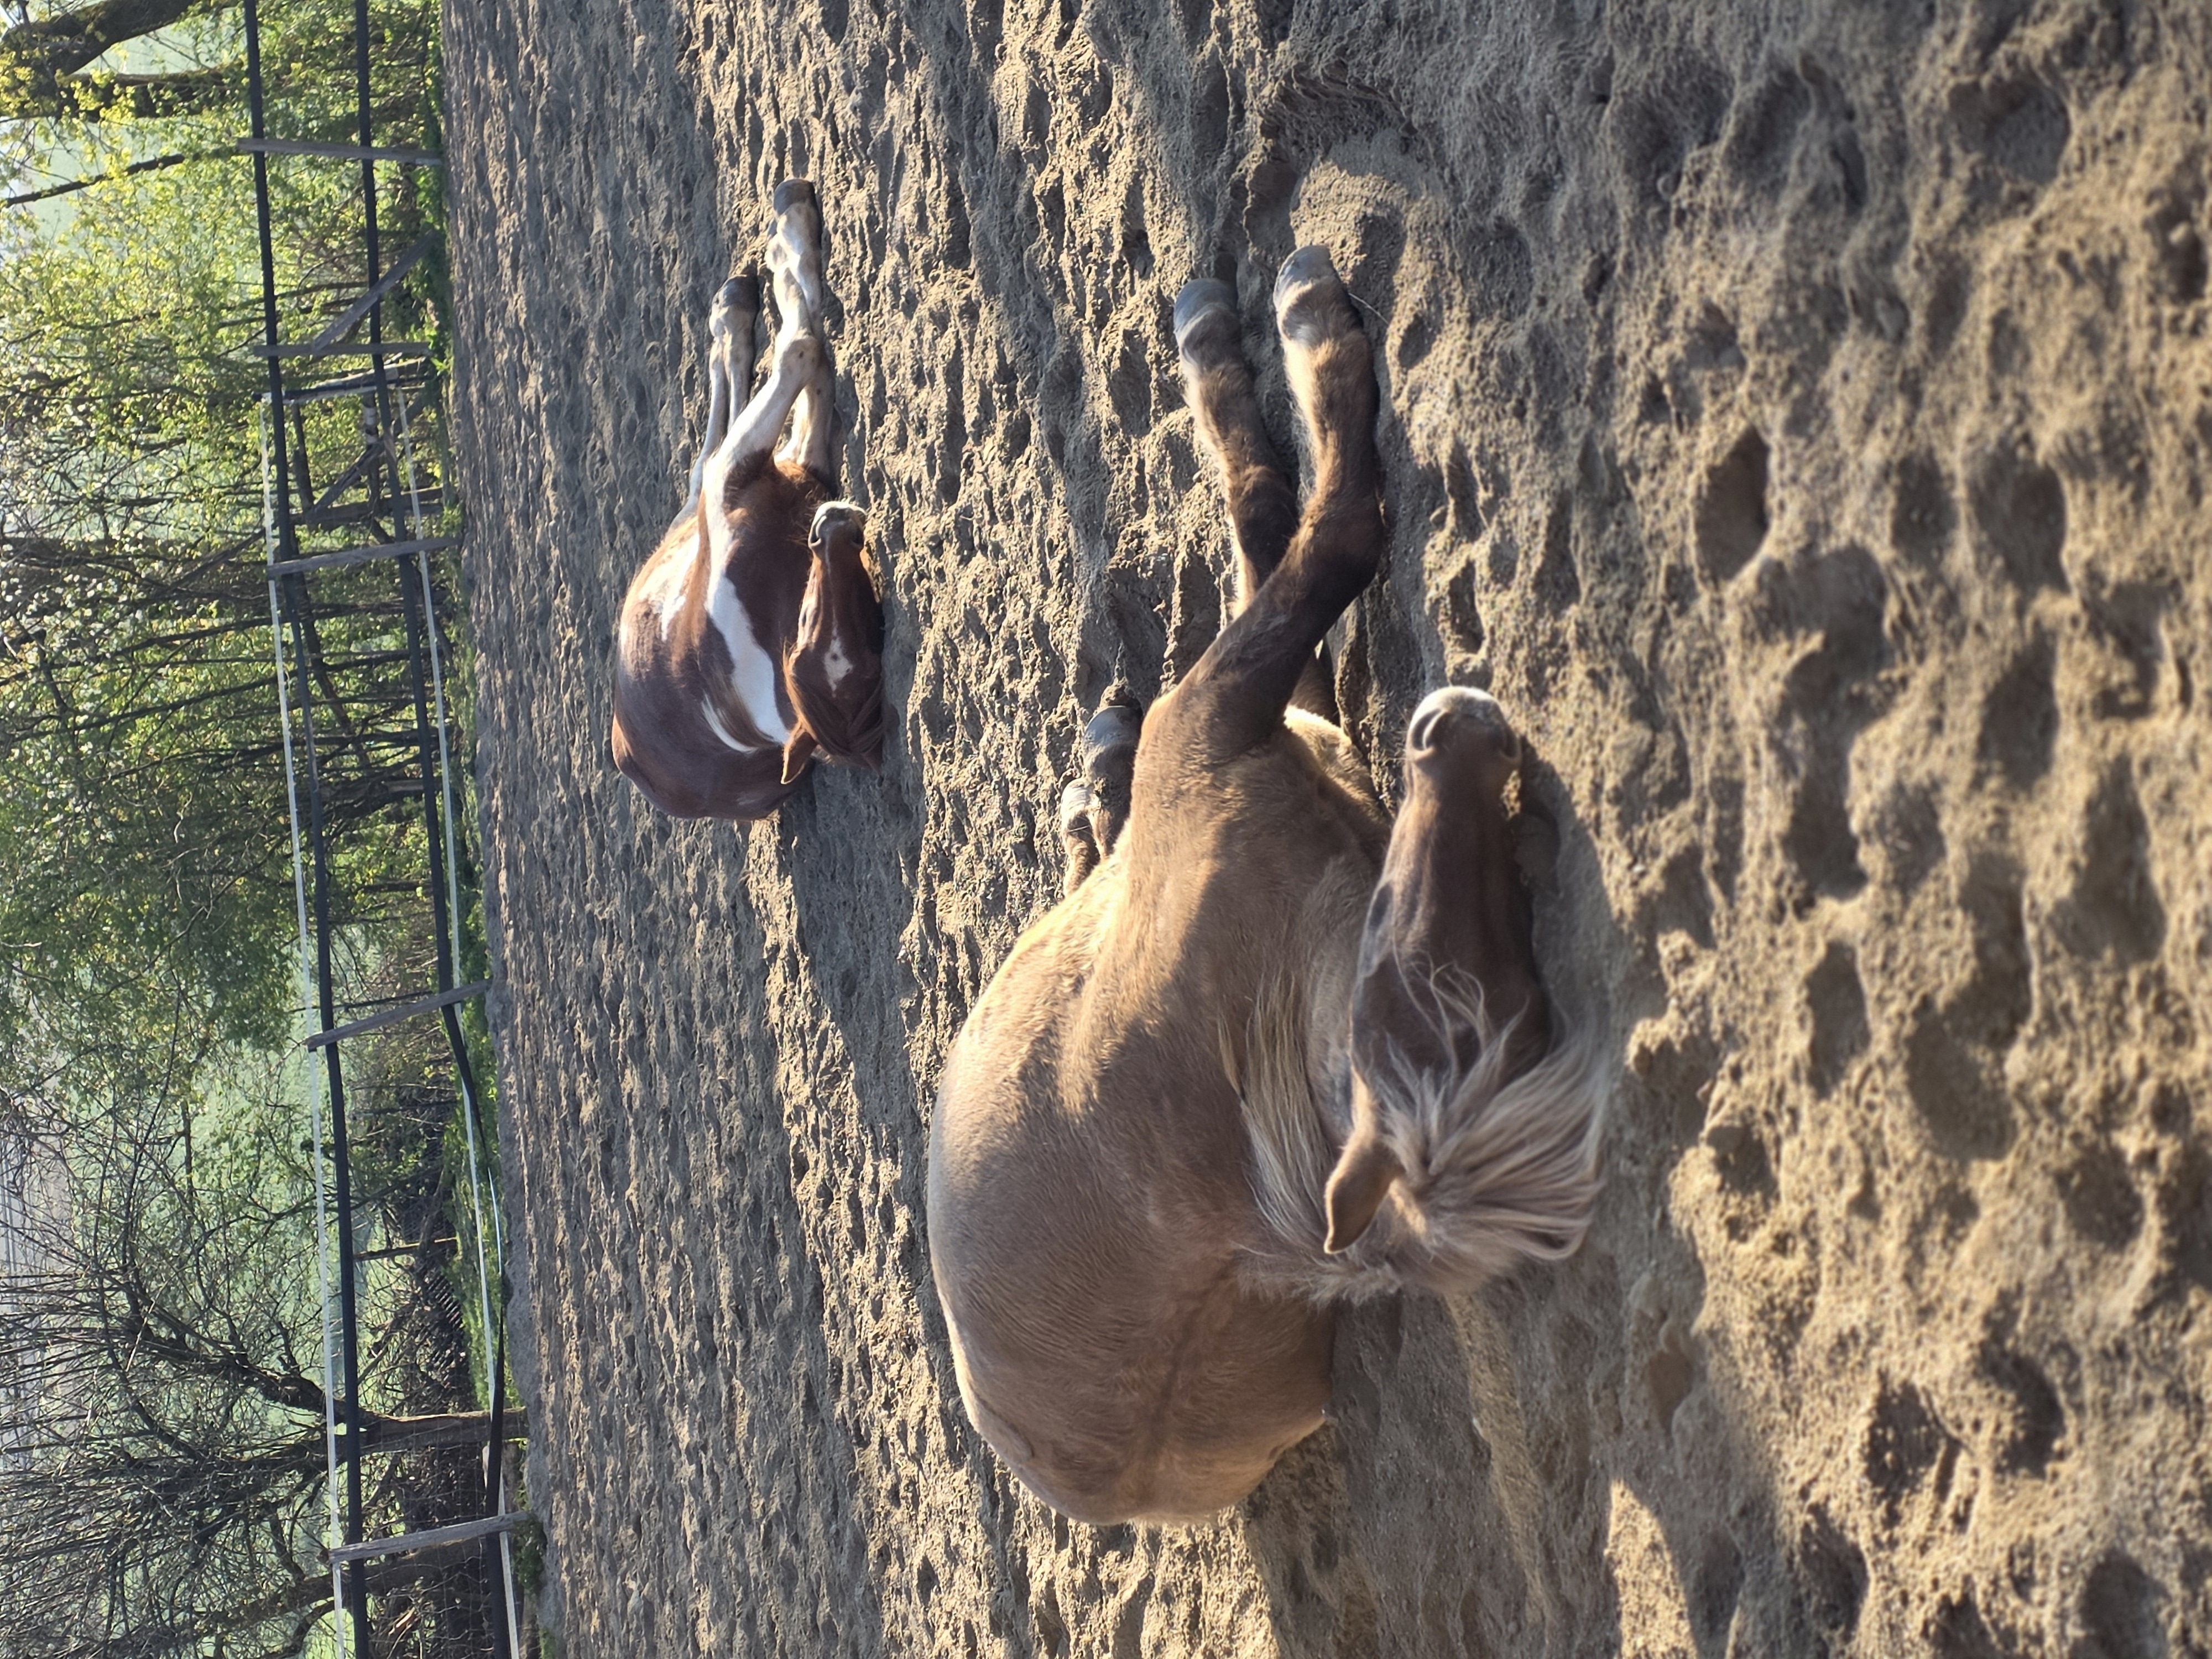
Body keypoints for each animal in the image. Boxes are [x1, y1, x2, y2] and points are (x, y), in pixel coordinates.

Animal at [611, 180, 885, 820]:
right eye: (808, 620)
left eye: (869, 633)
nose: (831, 523)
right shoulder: (747, 478)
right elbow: (802, 348)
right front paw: (790, 233)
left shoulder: (796, 470)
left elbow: (807, 355)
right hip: (712, 493)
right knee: (704, 457)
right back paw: (734, 309)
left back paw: (734, 308)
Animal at [925, 246, 1609, 1525]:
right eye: (1423, 991)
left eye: (1488, 995)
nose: (1451, 729)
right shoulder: (1221, 716)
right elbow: (1308, 527)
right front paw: (1286, 326)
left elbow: (1272, 536)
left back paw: (1097, 795)